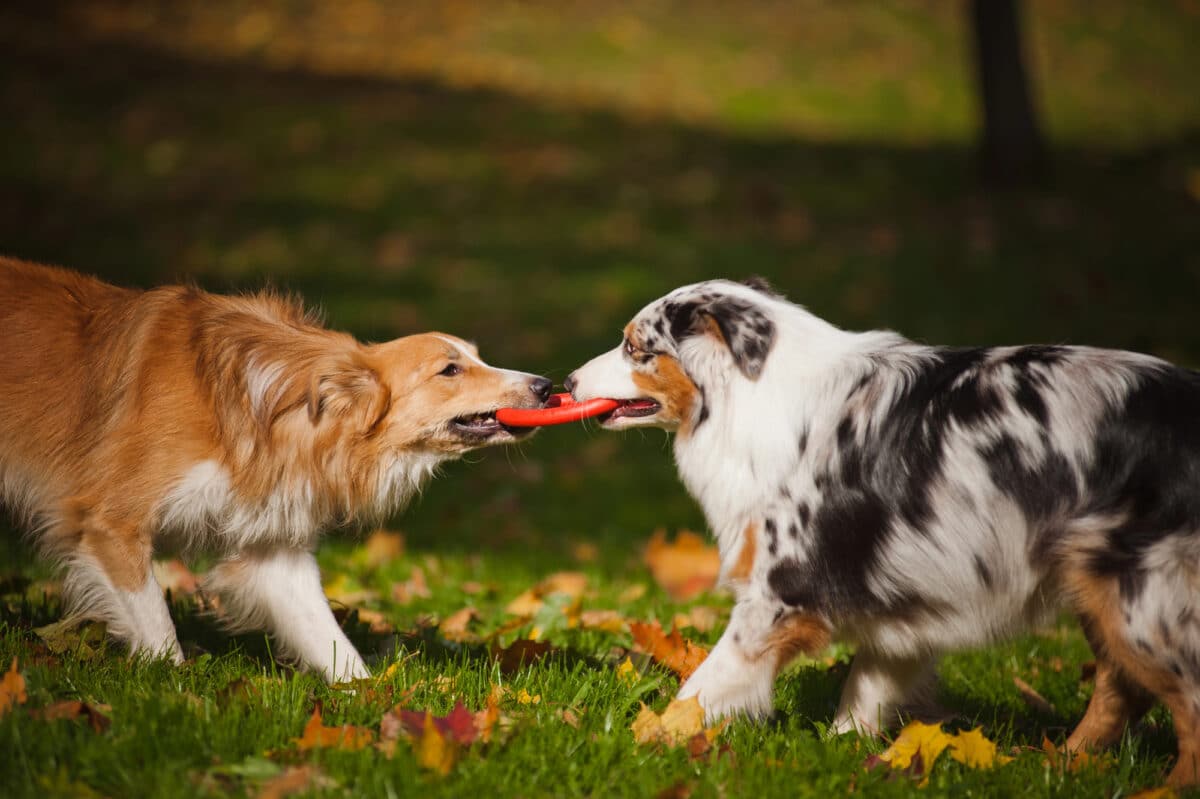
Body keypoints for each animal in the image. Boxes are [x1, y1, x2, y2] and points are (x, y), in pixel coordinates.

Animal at [0, 257, 552, 681]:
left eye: (478, 357)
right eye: (449, 370)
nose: (546, 386)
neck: (277, 409)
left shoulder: (274, 552)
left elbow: (328, 637)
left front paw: (376, 699)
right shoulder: (109, 521)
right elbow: (157, 625)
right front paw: (174, 690)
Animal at [564, 277, 1200, 782]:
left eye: (635, 347)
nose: (566, 383)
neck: (756, 400)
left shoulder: (779, 592)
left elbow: (706, 682)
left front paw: (647, 737)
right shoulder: (908, 598)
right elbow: (865, 688)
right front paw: (845, 755)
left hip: (1143, 597)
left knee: (1182, 699)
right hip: (1098, 586)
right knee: (1121, 688)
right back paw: (1060, 763)